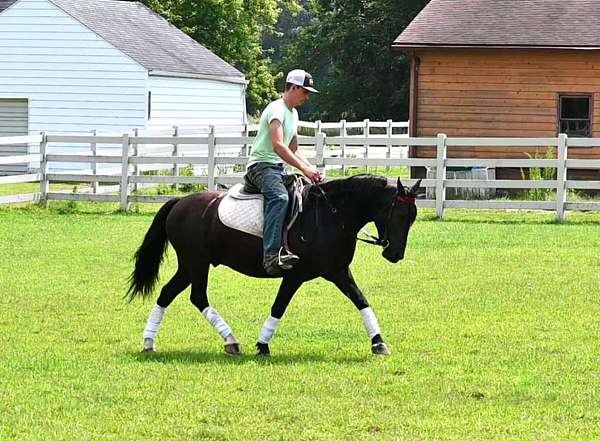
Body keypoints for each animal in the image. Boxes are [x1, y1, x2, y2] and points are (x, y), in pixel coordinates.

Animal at [129, 174, 420, 356]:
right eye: (400, 214)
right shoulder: (295, 275)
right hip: (196, 264)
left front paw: (378, 343)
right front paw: (262, 344)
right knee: (198, 297)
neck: (332, 215)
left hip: (190, 266)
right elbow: (279, 306)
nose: (395, 254)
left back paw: (149, 341)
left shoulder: (338, 272)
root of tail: (181, 202)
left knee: (168, 293)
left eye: (413, 217)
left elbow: (361, 301)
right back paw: (230, 340)